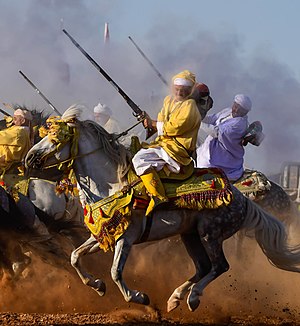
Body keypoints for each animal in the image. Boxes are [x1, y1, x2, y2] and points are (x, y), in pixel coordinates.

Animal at [25, 105, 300, 312]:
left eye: (56, 137)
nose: (29, 158)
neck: (114, 184)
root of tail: (244, 200)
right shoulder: (102, 235)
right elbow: (74, 256)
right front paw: (97, 285)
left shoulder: (127, 238)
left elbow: (115, 272)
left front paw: (139, 297)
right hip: (190, 236)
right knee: (203, 267)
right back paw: (175, 298)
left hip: (211, 234)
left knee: (220, 266)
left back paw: (193, 298)